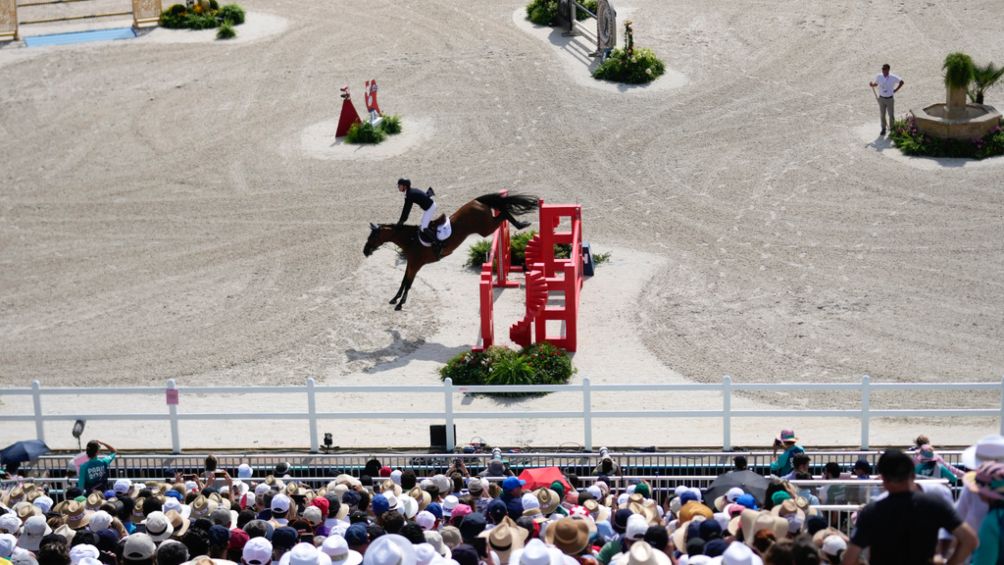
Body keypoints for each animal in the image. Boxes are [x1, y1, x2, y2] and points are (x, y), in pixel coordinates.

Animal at [363, 193, 538, 309]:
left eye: (372, 236)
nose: (365, 251)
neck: (410, 239)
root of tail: (476, 201)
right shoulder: (411, 263)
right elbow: (404, 281)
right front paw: (395, 299)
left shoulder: (416, 264)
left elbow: (409, 282)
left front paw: (400, 304)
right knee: (502, 212)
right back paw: (521, 223)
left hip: (486, 228)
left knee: (503, 214)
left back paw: (521, 224)